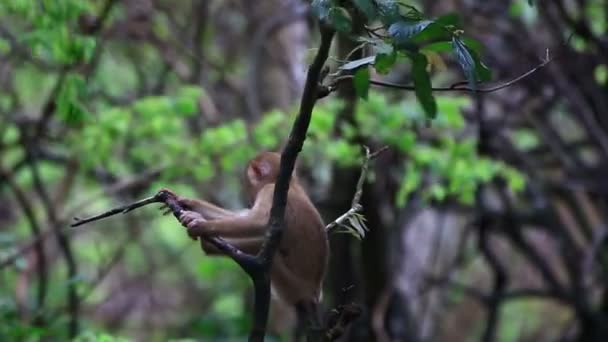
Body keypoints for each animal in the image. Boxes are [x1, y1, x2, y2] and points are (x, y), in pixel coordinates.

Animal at [164, 152, 330, 310]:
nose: (250, 198)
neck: (290, 184)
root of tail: (315, 292)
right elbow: (244, 216)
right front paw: (187, 201)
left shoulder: (269, 192)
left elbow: (258, 222)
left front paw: (199, 224)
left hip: (291, 287)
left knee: (260, 245)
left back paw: (207, 245)